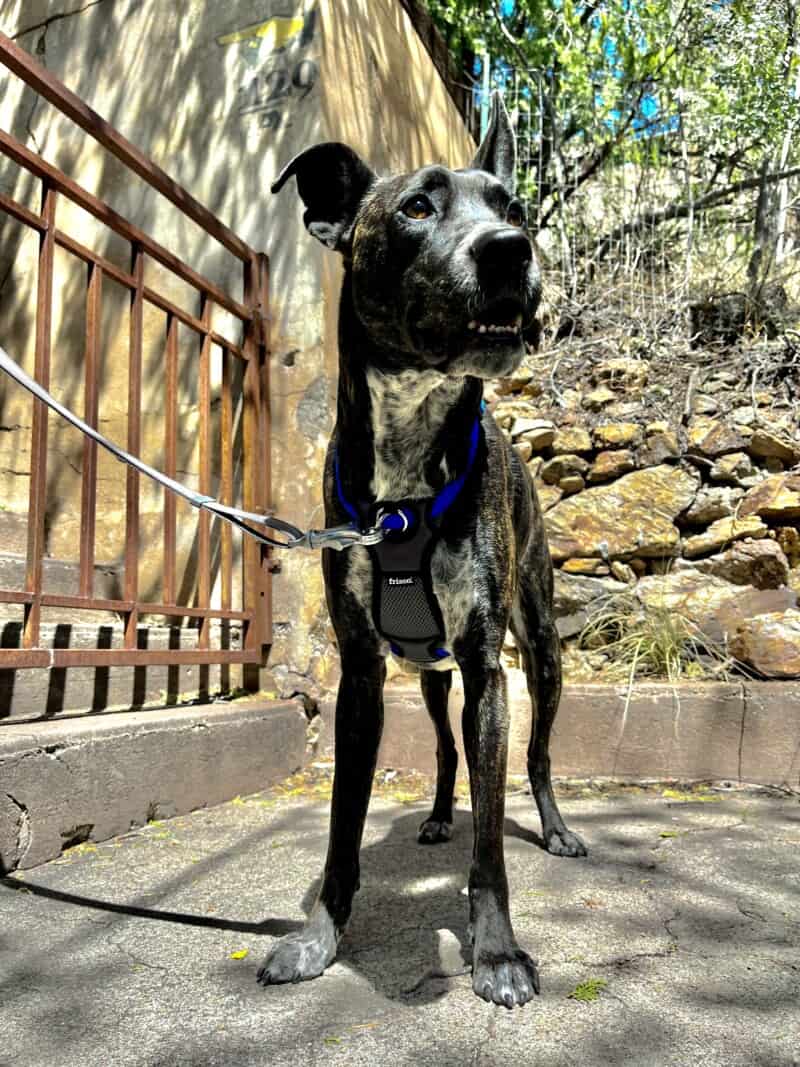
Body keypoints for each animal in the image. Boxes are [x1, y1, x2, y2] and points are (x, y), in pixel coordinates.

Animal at [263, 93, 588, 1007]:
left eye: (512, 206)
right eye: (416, 207)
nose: (512, 250)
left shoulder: (486, 666)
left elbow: (493, 843)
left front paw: (498, 952)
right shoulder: (362, 676)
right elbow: (342, 826)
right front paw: (320, 935)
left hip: (538, 651)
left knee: (539, 756)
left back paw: (556, 827)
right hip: (430, 673)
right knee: (444, 748)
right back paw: (441, 813)